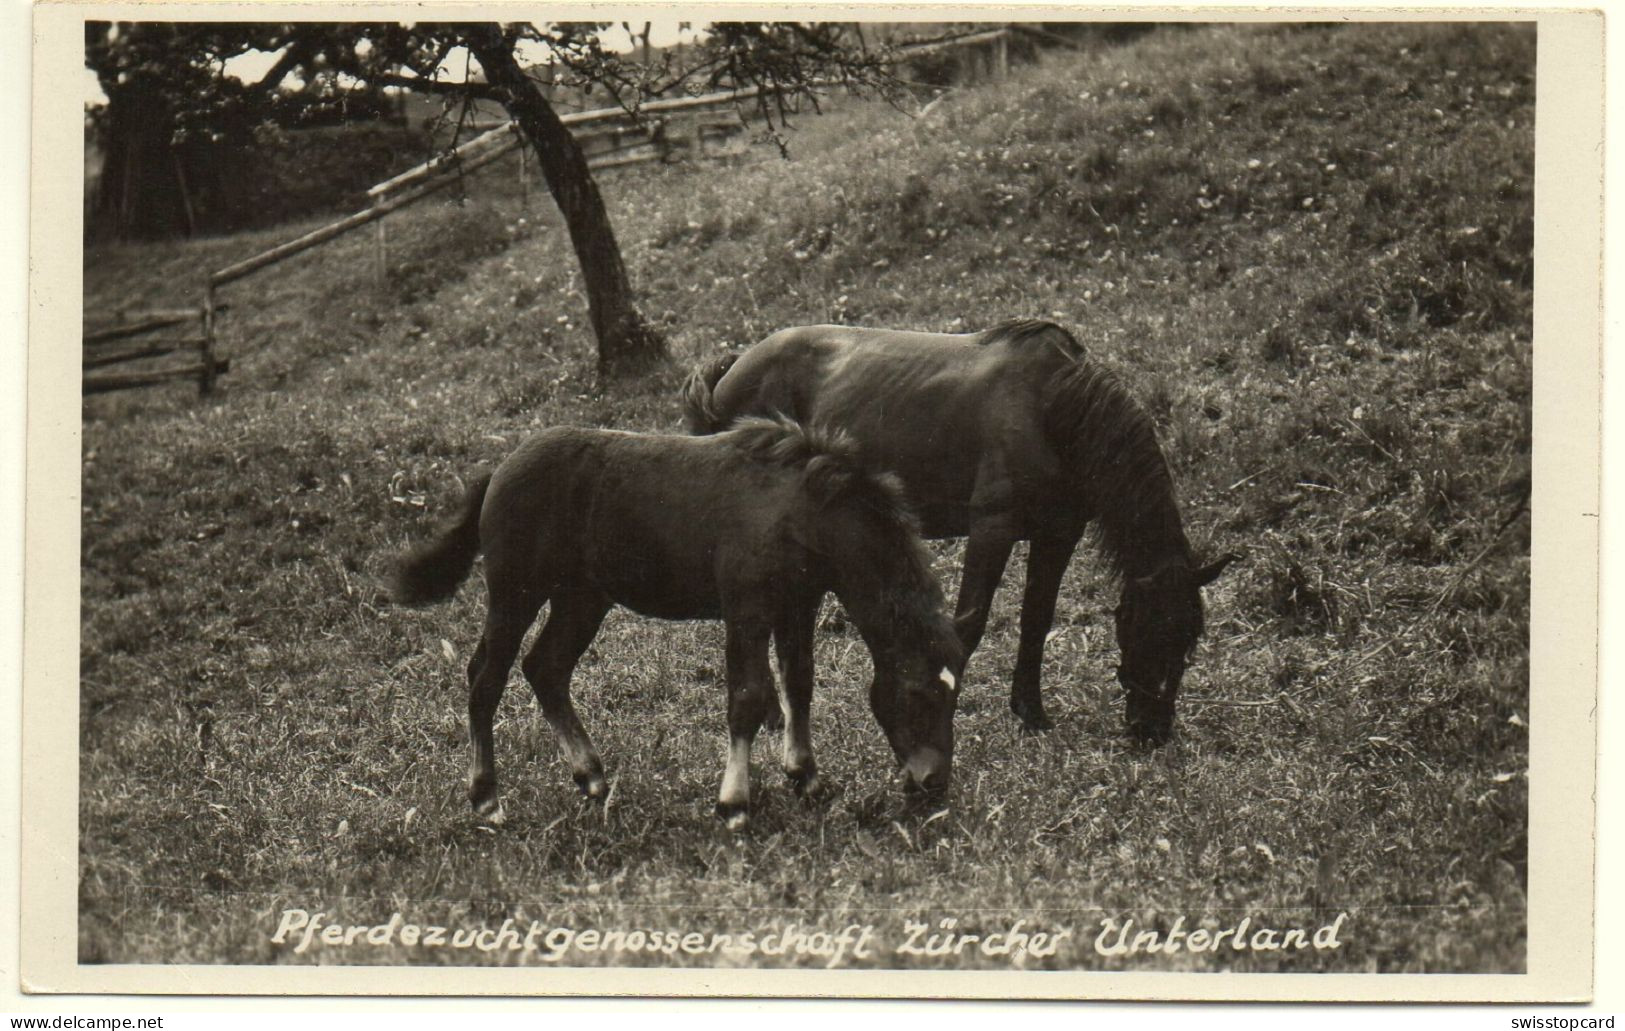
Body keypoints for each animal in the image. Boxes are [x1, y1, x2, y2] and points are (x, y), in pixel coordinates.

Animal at [393, 413, 962, 822]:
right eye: (918, 694)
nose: (933, 781)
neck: (800, 508)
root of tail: (498, 470)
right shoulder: (747, 607)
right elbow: (748, 696)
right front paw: (735, 804)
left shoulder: (798, 604)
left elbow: (798, 683)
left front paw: (806, 776)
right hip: (517, 594)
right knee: (485, 678)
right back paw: (486, 799)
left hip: (583, 598)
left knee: (546, 669)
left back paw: (591, 777)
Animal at [682, 318, 1228, 738]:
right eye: (1147, 630)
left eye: (1188, 641)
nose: (1152, 729)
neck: (1052, 408)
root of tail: (734, 369)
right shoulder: (992, 528)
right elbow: (969, 623)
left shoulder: (1057, 535)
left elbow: (1036, 620)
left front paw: (1031, 712)